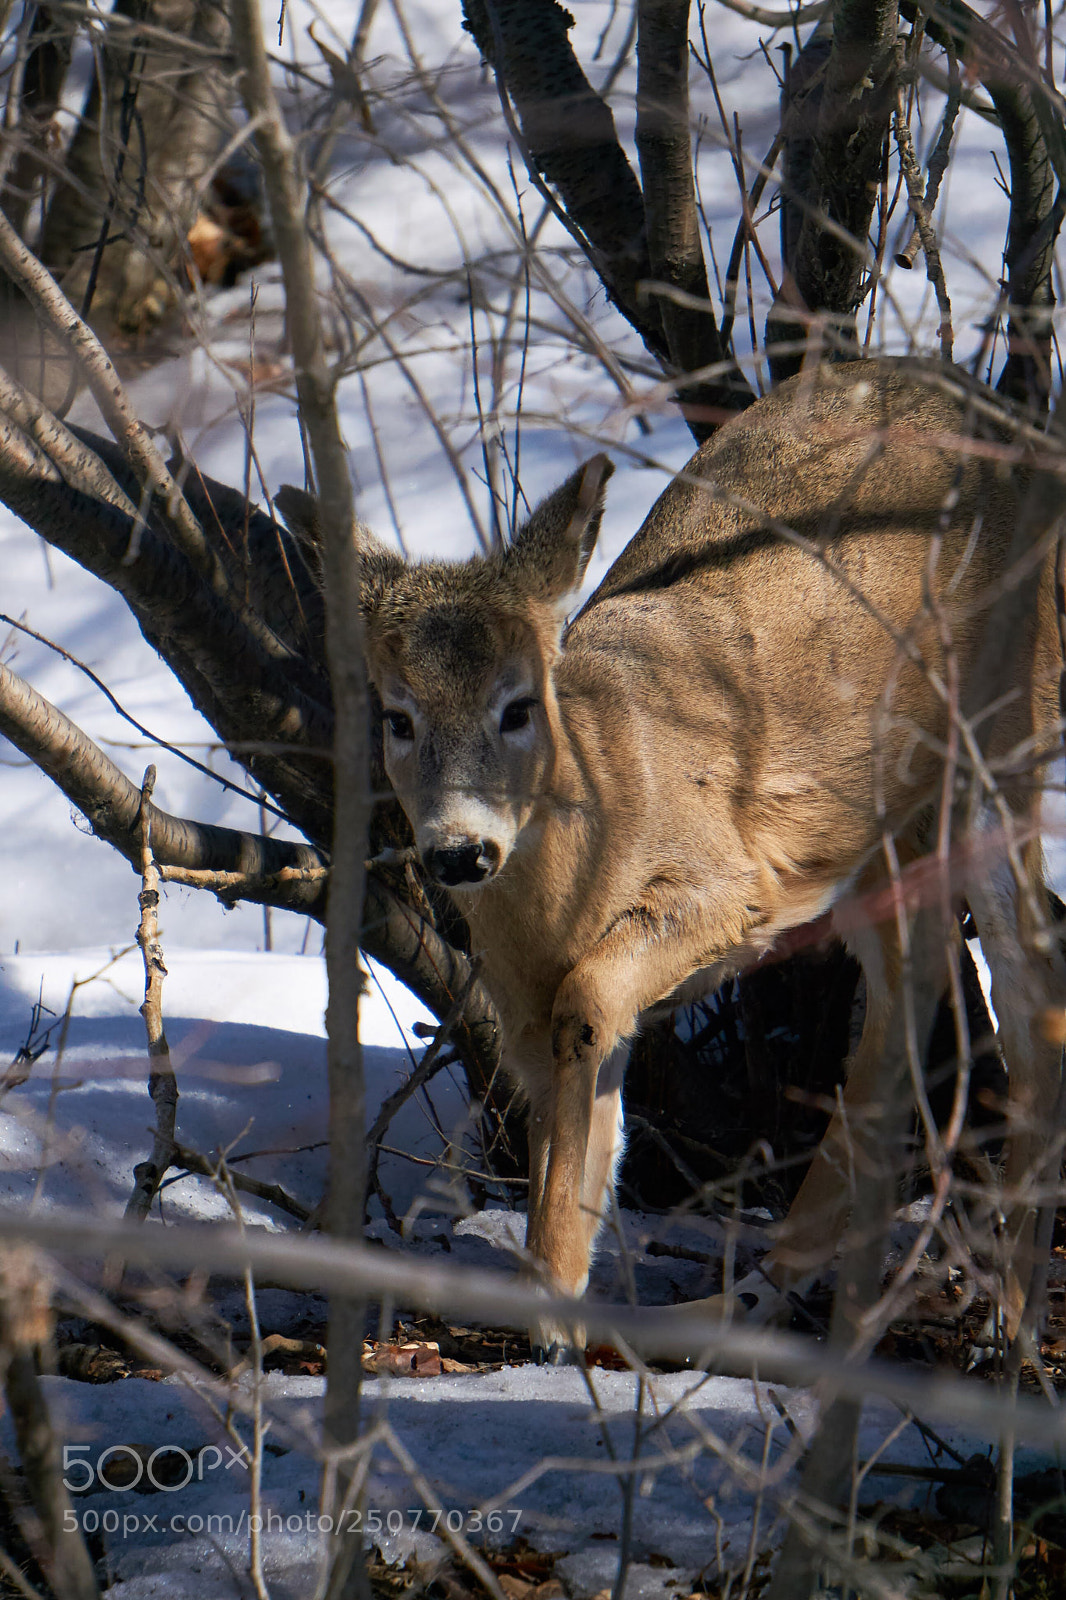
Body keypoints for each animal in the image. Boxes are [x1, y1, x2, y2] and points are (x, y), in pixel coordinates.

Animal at [342, 358, 1065, 1364]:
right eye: (397, 717)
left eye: (518, 705)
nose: (458, 850)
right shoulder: (520, 1006)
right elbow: (572, 1108)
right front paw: (559, 1298)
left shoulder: (734, 882)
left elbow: (591, 1006)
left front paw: (552, 1309)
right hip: (878, 833)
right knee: (907, 1004)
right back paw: (766, 1300)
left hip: (999, 742)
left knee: (1032, 996)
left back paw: (1010, 1325)